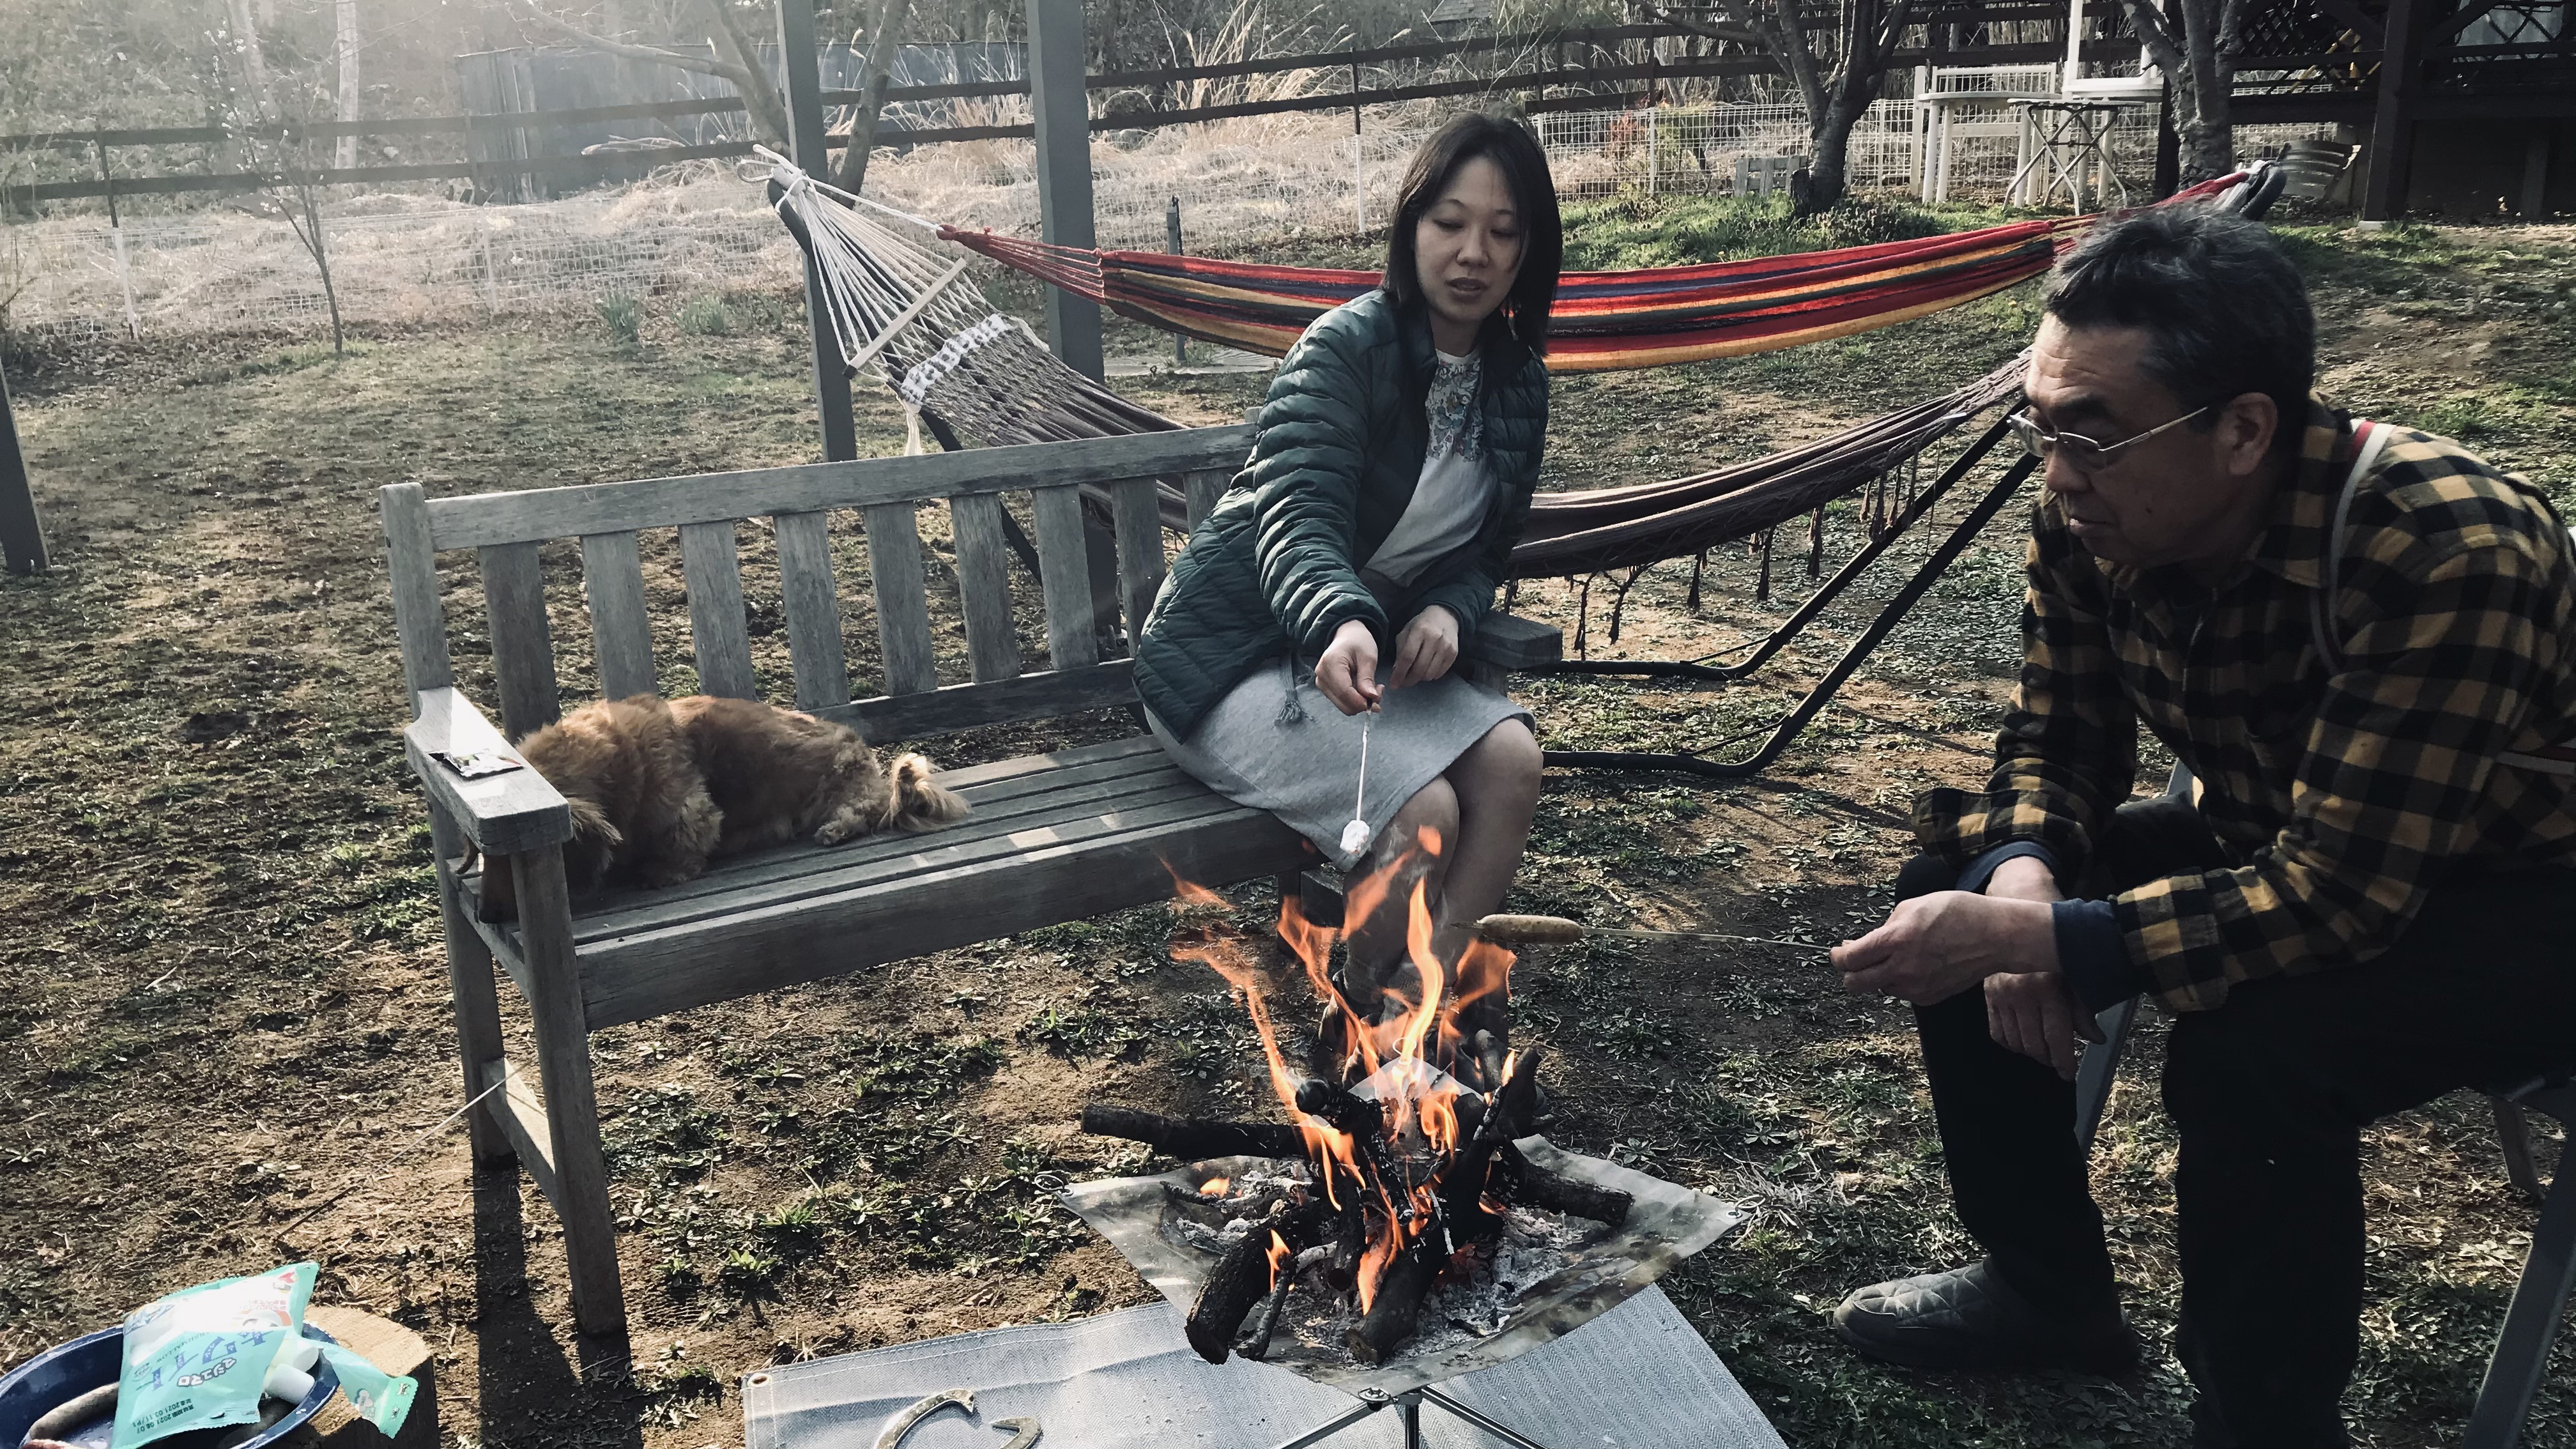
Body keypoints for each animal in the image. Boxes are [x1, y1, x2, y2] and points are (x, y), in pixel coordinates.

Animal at [479, 686, 969, 912]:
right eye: (491, 857)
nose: (488, 915)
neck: (616, 758)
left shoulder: (691, 811)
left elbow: (679, 848)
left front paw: (660, 871)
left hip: (842, 784)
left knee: (863, 810)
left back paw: (836, 828)